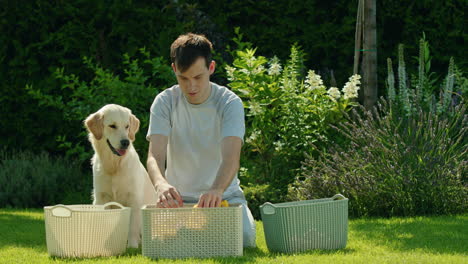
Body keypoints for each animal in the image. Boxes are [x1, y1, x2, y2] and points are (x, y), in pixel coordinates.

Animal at [84, 104, 157, 249]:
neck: (114, 166)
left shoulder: (134, 199)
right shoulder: (101, 198)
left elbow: (133, 226)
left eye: (127, 126)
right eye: (112, 126)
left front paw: (132, 246)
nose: (125, 142)